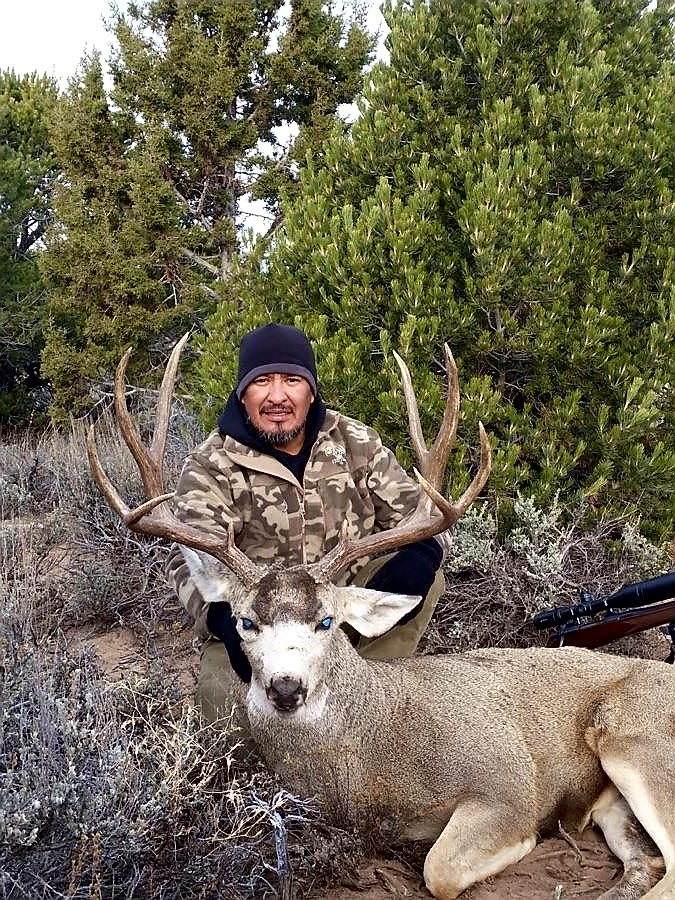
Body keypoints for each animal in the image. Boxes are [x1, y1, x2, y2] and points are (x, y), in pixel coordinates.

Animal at [87, 333, 675, 900]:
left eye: (326, 621)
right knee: (647, 863)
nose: (285, 688)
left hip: (637, 739)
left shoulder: (508, 785)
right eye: (246, 623)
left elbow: (439, 870)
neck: (370, 759)